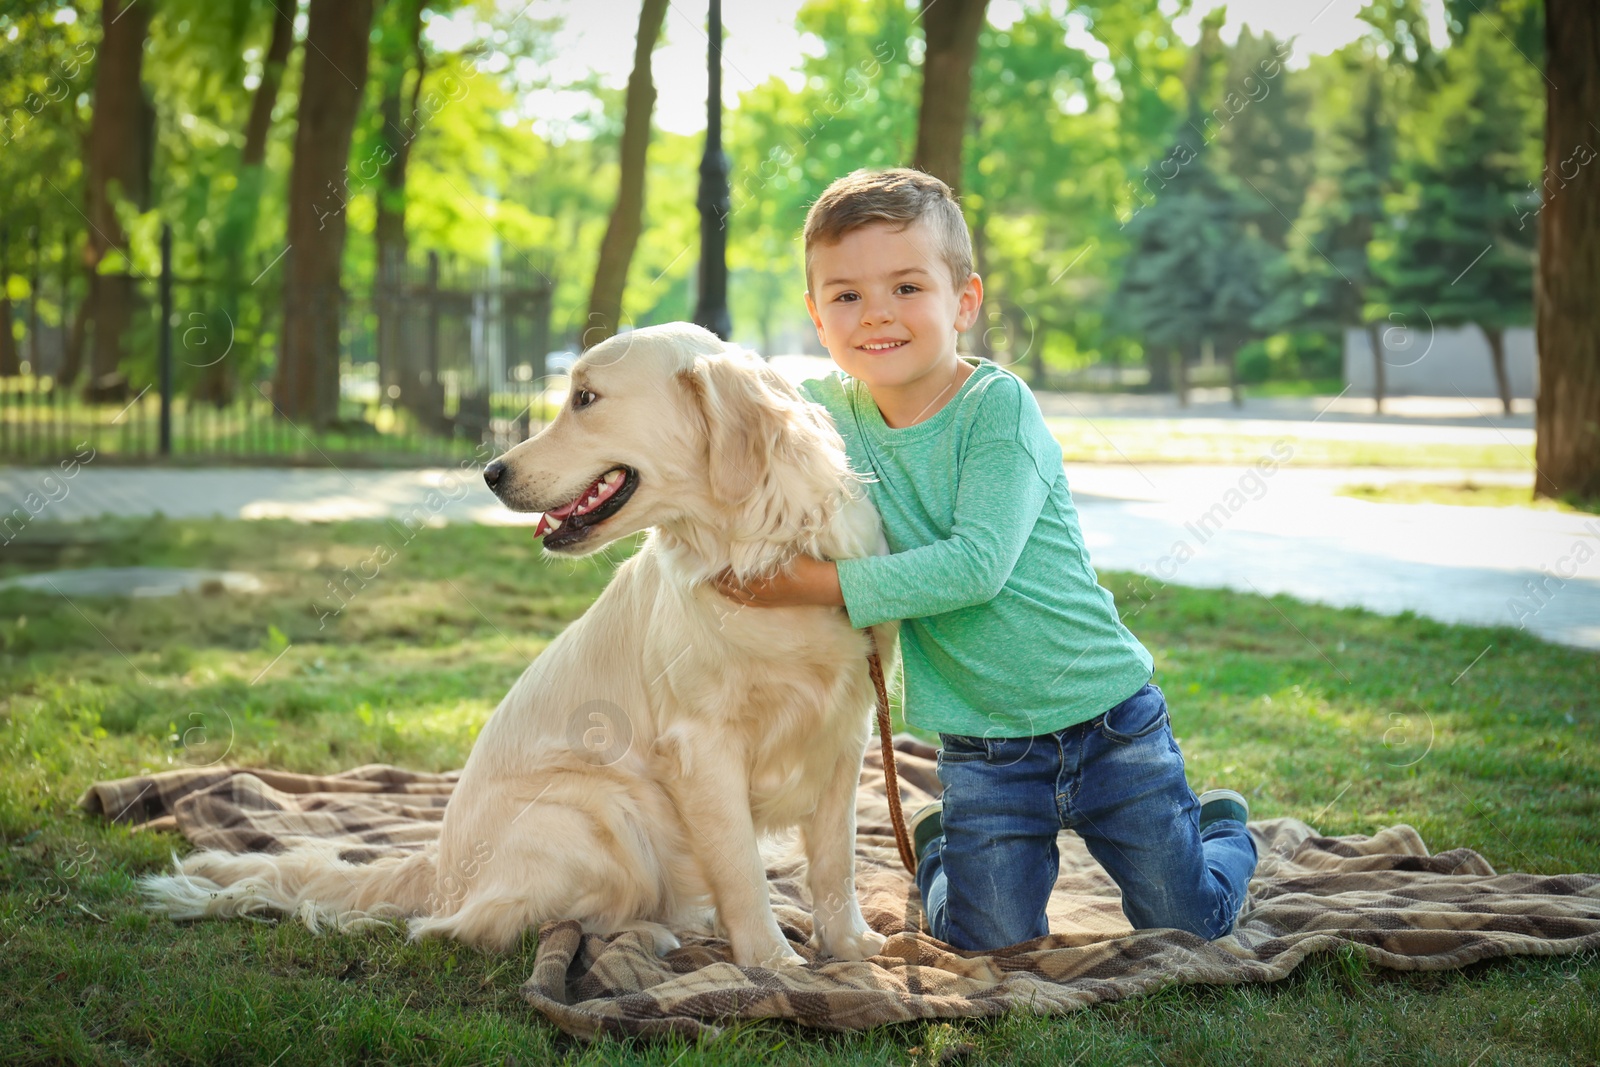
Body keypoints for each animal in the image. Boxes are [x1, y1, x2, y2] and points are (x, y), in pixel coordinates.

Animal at [139, 319, 902, 966]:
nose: (491, 473)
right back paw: (645, 934)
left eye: (586, 398)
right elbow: (742, 865)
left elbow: (836, 860)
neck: (757, 552)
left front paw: (853, 947)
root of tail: (440, 868)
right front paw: (772, 962)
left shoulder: (849, 731)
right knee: (474, 925)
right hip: (598, 807)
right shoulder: (701, 744)